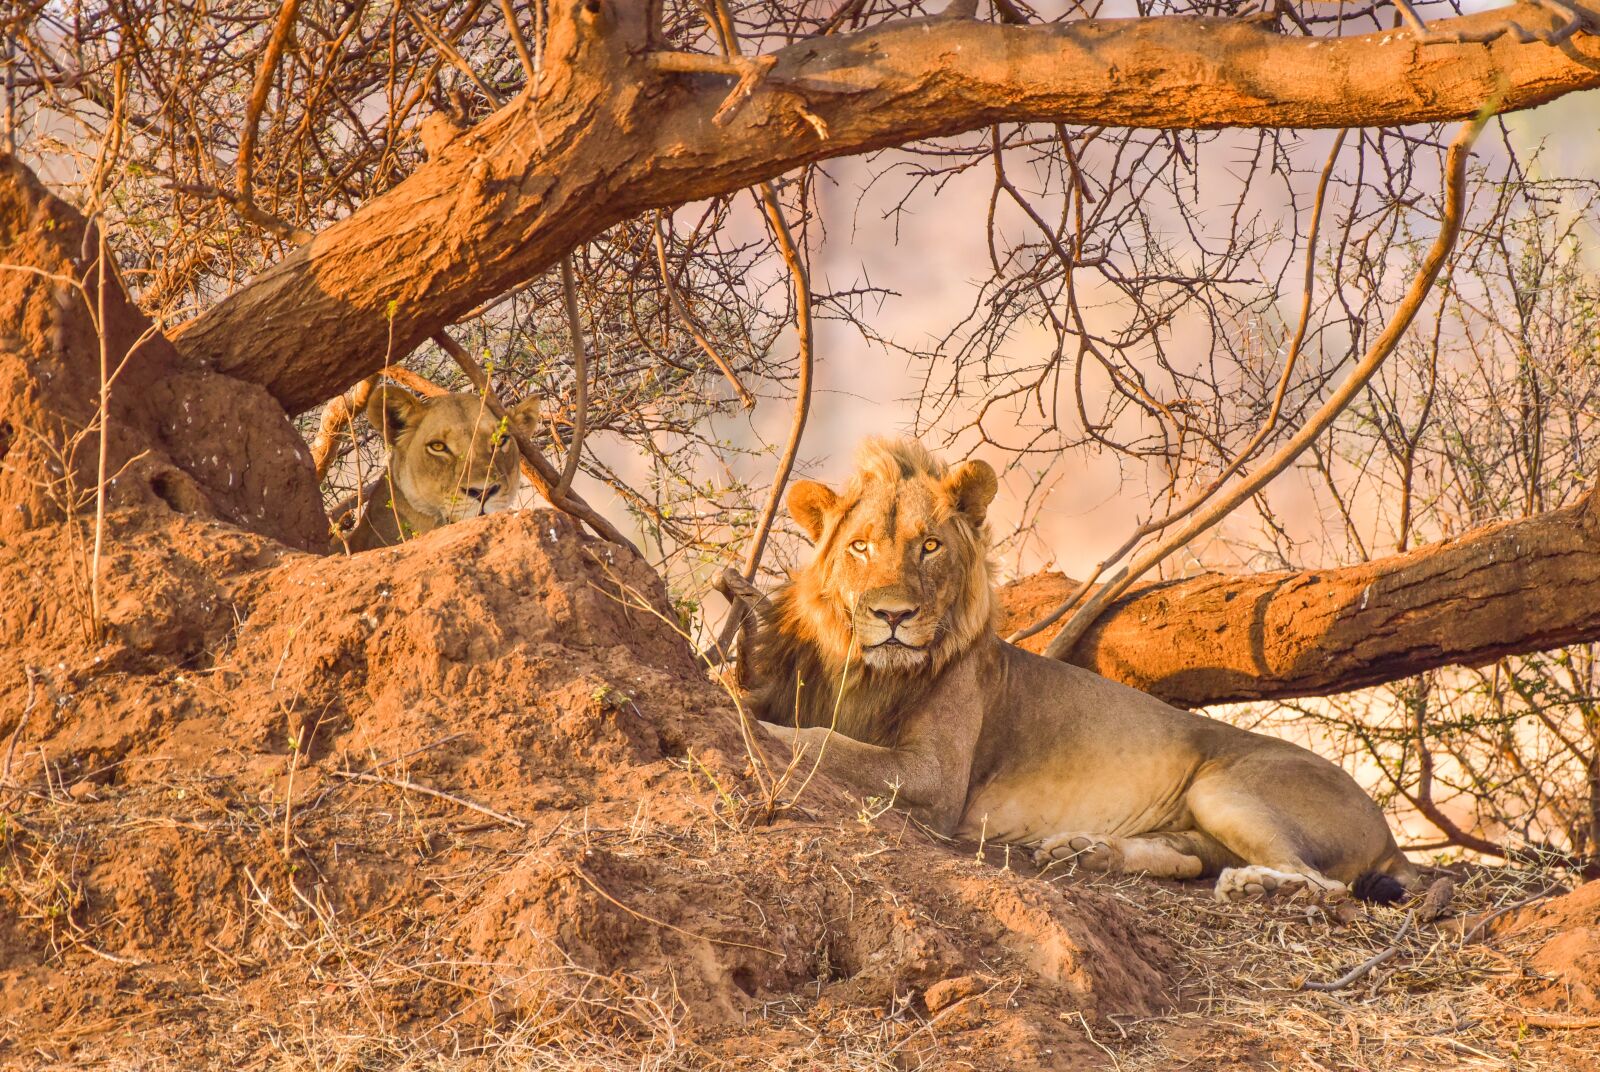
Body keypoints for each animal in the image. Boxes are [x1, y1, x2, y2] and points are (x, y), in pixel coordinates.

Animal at [749, 437, 1420, 903]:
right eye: (859, 547)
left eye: (930, 546)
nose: (892, 615)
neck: (873, 672)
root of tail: (1390, 834)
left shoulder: (936, 780)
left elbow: (827, 742)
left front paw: (760, 732)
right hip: (1198, 816)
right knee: (1190, 858)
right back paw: (1087, 850)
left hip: (1225, 787)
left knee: (1323, 884)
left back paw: (1256, 885)